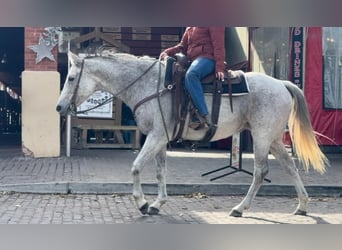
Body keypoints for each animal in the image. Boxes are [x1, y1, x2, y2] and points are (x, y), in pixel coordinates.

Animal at [56, 52, 328, 217]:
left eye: (71, 77)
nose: (59, 107)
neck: (149, 85)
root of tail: (281, 83)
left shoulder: (155, 137)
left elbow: (136, 167)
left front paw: (142, 203)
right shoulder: (160, 138)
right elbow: (160, 171)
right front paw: (157, 203)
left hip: (261, 137)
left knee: (261, 172)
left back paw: (240, 208)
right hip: (273, 139)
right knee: (290, 166)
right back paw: (302, 205)